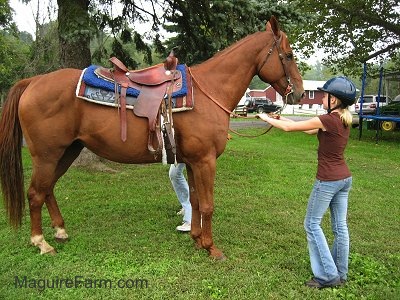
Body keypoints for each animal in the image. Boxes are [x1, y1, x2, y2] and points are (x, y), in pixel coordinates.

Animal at [0, 17, 304, 258]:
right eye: (288, 55)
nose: (300, 93)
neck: (209, 91)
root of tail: (33, 81)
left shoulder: (192, 161)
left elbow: (195, 201)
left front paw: (196, 240)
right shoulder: (205, 161)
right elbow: (207, 204)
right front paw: (211, 248)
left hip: (67, 151)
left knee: (48, 189)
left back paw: (60, 231)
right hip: (47, 154)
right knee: (35, 193)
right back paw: (41, 242)